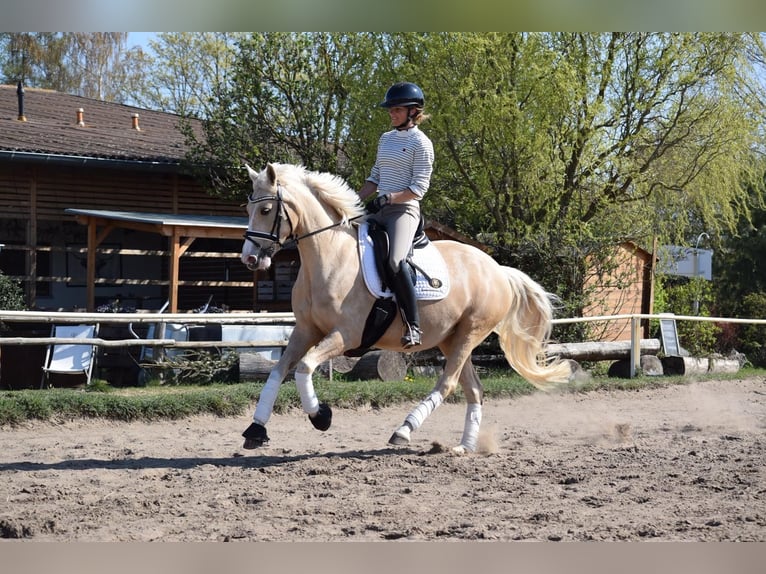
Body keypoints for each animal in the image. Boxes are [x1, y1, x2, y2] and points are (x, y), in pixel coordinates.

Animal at [240, 162, 572, 454]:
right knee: (474, 389)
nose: (250, 259)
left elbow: (304, 368)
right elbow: (277, 372)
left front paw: (321, 416)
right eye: (247, 210)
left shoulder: (345, 335)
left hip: (470, 333)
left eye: (266, 210)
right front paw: (256, 430)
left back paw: (404, 430)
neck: (330, 256)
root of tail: (498, 270)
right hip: (452, 340)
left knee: (448, 383)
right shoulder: (306, 330)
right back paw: (463, 447)